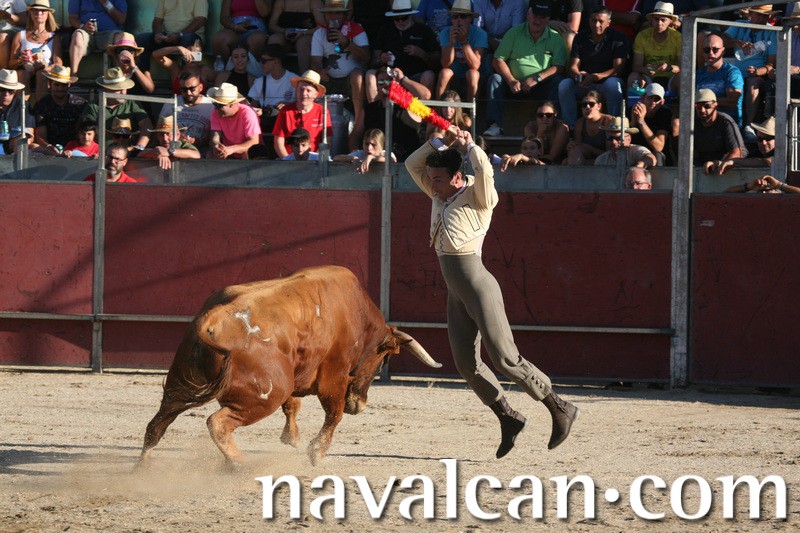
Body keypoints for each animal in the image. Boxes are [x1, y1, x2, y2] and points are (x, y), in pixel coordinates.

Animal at [138, 265, 441, 467]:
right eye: (383, 360)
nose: (360, 406)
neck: (358, 314)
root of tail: (211, 322)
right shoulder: (334, 374)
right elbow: (333, 414)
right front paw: (316, 452)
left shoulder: (297, 372)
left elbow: (294, 405)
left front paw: (292, 438)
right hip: (264, 396)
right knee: (217, 423)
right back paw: (240, 464)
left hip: (179, 385)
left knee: (157, 425)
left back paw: (142, 467)